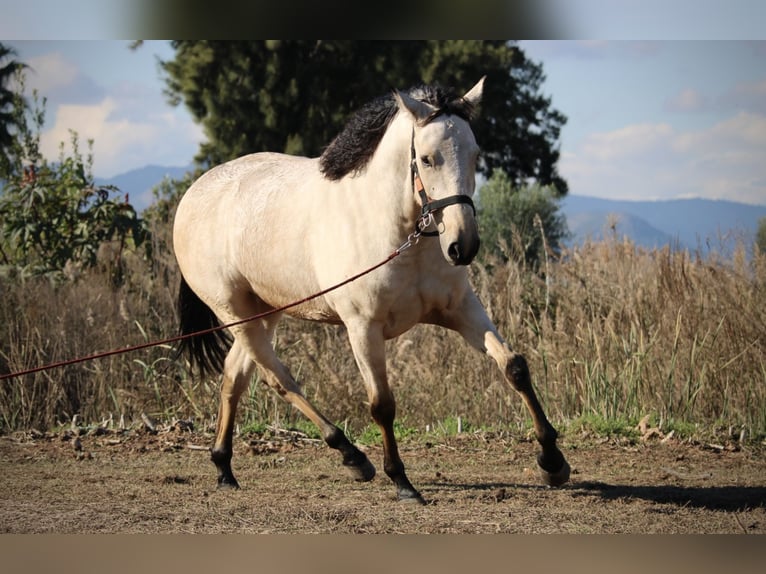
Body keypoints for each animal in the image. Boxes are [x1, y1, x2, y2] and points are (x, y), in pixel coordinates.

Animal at [174, 77, 568, 504]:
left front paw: (553, 461)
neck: (398, 234)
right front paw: (402, 483)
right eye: (427, 159)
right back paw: (351, 456)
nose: (463, 246)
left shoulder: (460, 309)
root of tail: (194, 194)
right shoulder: (363, 328)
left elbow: (514, 367)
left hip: (266, 310)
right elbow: (382, 405)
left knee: (235, 377)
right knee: (278, 378)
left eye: (476, 154)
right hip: (236, 313)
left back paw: (224, 467)